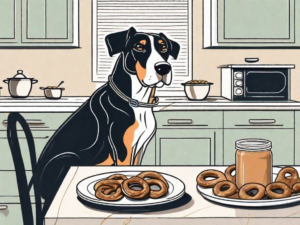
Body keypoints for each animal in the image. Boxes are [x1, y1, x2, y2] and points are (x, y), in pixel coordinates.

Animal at [35, 27, 180, 214]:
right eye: (138, 47)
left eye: (163, 48)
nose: (163, 68)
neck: (136, 101)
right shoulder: (123, 149)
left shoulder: (140, 148)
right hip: (68, 157)